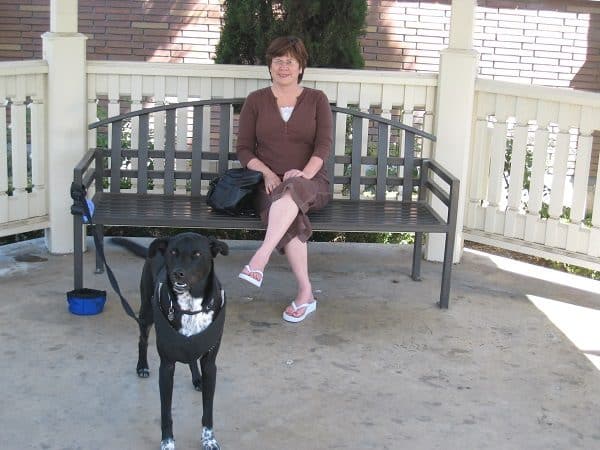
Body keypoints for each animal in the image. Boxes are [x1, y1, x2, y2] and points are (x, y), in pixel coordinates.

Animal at [111, 232, 229, 450]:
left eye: (197, 254)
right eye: (173, 253)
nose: (177, 274)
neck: (190, 305)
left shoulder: (210, 366)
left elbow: (208, 410)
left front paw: (209, 439)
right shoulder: (166, 367)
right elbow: (166, 414)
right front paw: (167, 443)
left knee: (191, 355)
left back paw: (197, 379)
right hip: (146, 312)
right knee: (142, 340)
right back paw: (142, 366)